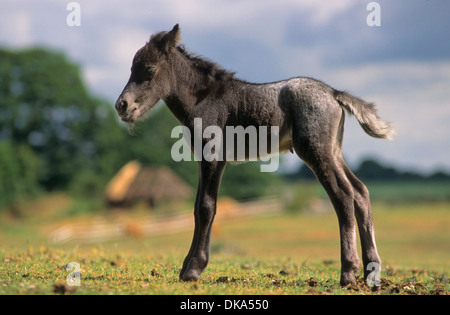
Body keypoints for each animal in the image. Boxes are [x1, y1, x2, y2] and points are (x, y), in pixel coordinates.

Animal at [115, 24, 394, 286]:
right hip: (334, 152)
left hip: (316, 152)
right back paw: (371, 272)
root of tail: (334, 94)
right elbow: (198, 207)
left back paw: (348, 272)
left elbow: (206, 206)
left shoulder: (213, 155)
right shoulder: (205, 158)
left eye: (149, 70)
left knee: (343, 195)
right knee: (360, 191)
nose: (122, 106)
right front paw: (187, 267)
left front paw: (193, 269)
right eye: (131, 68)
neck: (204, 98)